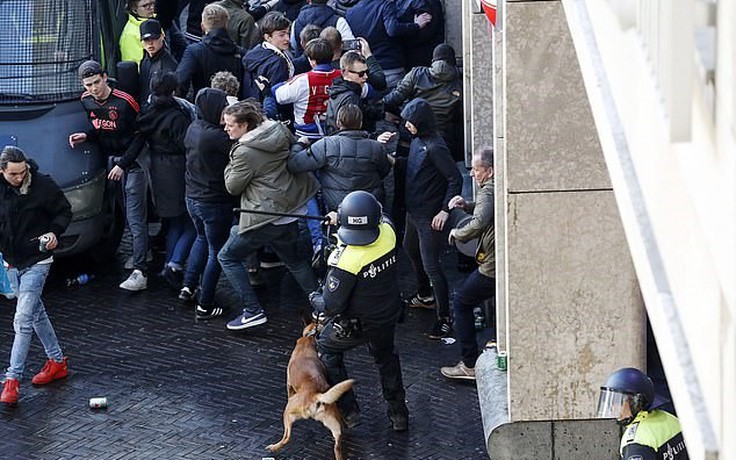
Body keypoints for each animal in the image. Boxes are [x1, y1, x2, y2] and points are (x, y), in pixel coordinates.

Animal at [266, 322, 356, 458]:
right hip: (333, 424)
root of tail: (316, 395)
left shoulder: (288, 383)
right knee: (337, 445)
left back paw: (274, 447)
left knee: (287, 437)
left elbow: (289, 391)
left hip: (287, 412)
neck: (310, 337)